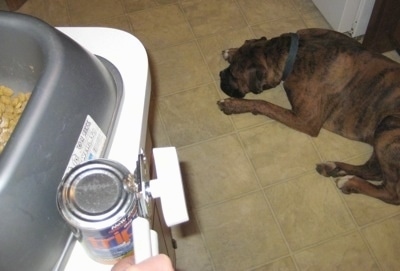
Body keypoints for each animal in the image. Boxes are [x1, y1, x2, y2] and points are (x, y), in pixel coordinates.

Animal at [217, 28, 400, 206]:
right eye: (229, 69)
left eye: (233, 75)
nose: (220, 75)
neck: (295, 53)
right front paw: (231, 51)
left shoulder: (306, 120)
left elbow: (263, 104)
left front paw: (232, 104)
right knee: (374, 170)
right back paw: (334, 168)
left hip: (388, 128)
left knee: (392, 193)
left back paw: (349, 182)